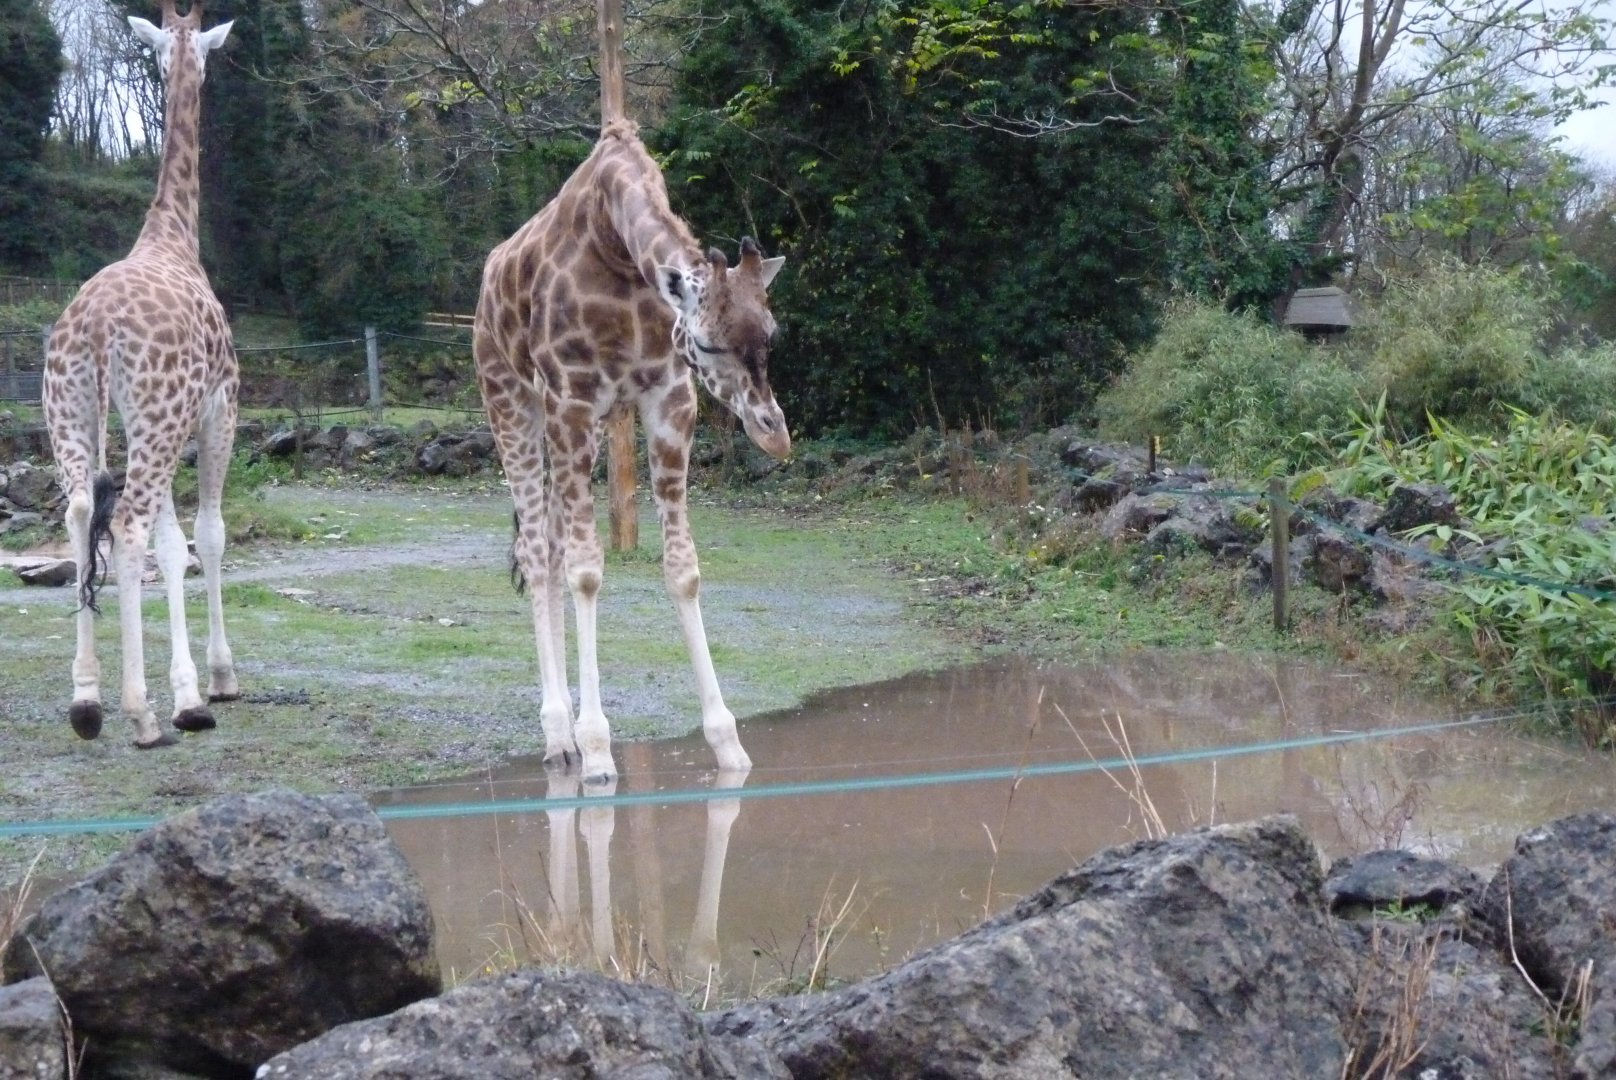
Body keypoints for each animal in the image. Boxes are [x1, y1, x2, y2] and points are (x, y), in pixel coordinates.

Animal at [42, 0, 239, 750]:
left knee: (77, 512)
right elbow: (202, 537)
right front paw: (207, 684)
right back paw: (144, 713)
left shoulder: (170, 421)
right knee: (123, 524)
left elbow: (171, 542)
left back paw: (86, 701)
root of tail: (97, 331)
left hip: (69, 410)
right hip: (155, 420)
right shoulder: (216, 410)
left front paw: (188, 685)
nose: (198, 71)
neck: (174, 234)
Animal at [473, 120, 789, 784]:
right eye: (706, 343)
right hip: (511, 400)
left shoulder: (669, 399)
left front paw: (727, 742)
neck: (615, 249)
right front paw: (596, 747)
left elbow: (682, 569)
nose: (774, 434)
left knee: (554, 544)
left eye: (772, 335)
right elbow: (588, 571)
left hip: (584, 429)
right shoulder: (571, 399)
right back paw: (559, 736)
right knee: (537, 550)